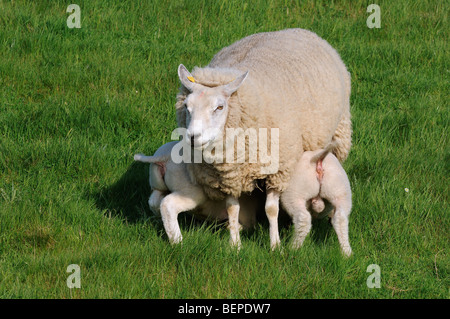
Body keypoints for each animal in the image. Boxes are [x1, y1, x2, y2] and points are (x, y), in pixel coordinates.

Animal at [134, 141, 262, 246]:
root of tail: (165, 156)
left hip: (157, 183)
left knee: (154, 201)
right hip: (191, 191)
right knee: (168, 204)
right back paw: (178, 242)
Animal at [174, 28, 354, 250]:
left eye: (219, 107)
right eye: (187, 107)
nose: (193, 137)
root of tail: (299, 29)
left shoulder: (278, 170)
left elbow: (271, 209)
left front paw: (275, 244)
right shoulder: (230, 174)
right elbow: (232, 208)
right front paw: (235, 244)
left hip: (340, 133)